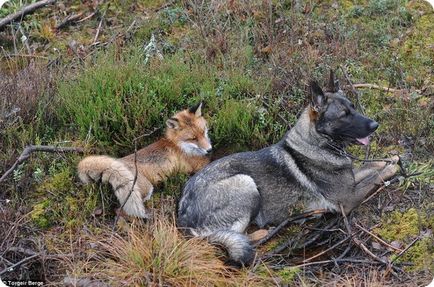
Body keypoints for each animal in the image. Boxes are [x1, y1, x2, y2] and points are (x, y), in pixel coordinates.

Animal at [78, 103, 214, 218]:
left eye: (203, 131)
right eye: (193, 138)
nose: (209, 149)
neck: (177, 145)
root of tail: (116, 162)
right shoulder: (199, 165)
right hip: (145, 190)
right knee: (122, 210)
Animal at [178, 71, 398, 266]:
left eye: (353, 107)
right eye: (344, 115)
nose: (375, 125)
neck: (318, 143)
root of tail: (182, 216)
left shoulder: (351, 181)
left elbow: (370, 165)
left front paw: (392, 158)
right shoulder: (348, 199)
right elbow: (376, 176)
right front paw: (393, 168)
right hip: (245, 182)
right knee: (233, 234)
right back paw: (265, 230)